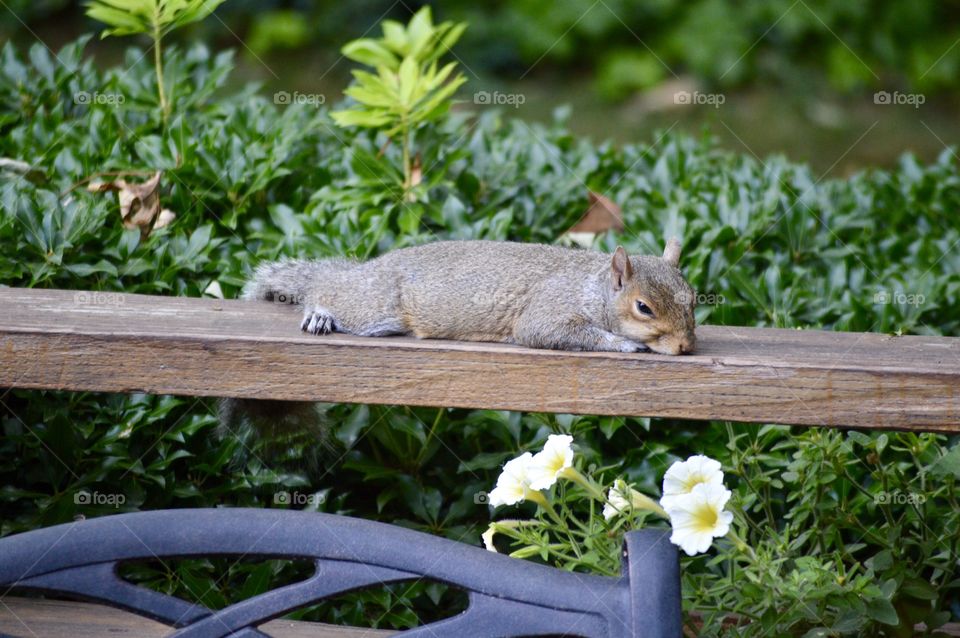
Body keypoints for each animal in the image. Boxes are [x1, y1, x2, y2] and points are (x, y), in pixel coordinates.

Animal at [244, 240, 696, 358]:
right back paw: (320, 312)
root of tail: (369, 268)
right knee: (326, 290)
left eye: (693, 297)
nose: (686, 346)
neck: (592, 286)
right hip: (375, 307)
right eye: (643, 307)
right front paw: (627, 343)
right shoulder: (548, 309)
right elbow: (546, 331)